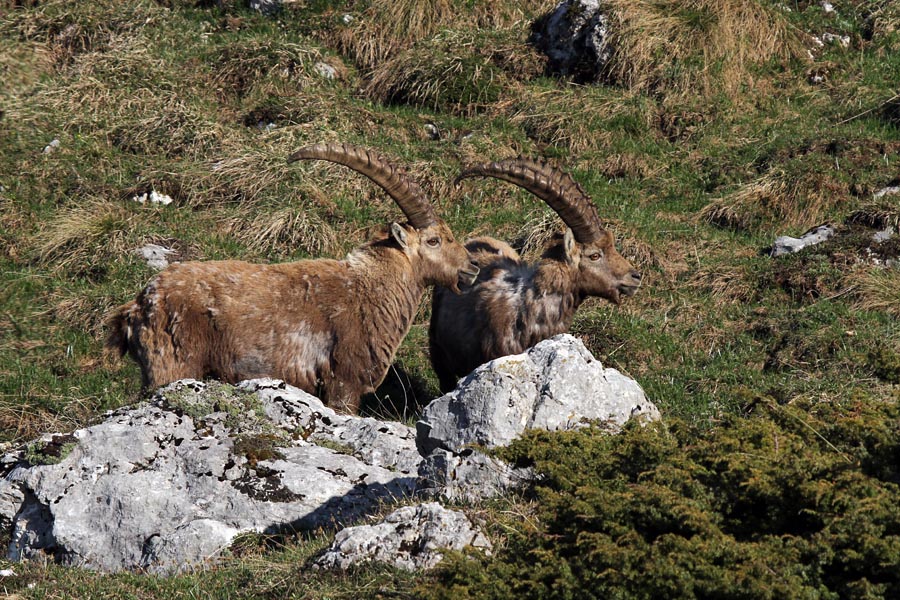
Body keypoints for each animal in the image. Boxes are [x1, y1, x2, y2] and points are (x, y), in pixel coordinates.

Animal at [107, 143, 479, 414]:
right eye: (434, 241)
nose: (471, 267)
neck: (369, 289)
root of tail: (138, 306)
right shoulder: (343, 381)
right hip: (171, 366)